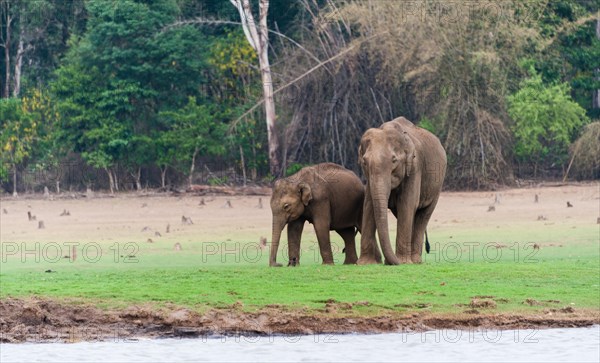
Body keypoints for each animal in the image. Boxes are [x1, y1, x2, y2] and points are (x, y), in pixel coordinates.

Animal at [356, 118, 446, 266]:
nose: (389, 262)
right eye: (364, 161)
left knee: (423, 216)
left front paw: (403, 262)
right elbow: (368, 205)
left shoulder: (415, 167)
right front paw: (365, 263)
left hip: (437, 186)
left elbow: (407, 204)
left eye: (394, 160)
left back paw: (415, 260)